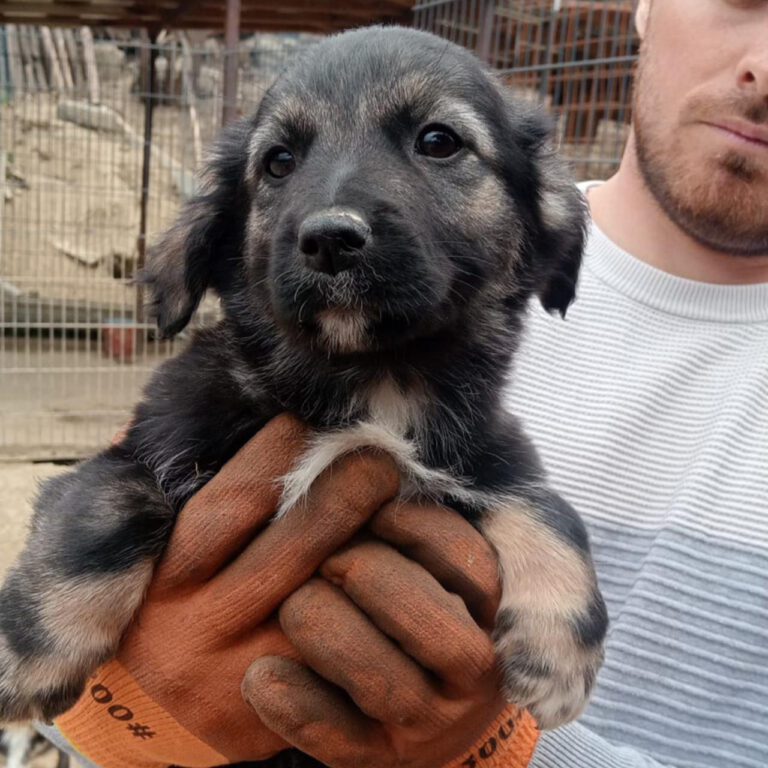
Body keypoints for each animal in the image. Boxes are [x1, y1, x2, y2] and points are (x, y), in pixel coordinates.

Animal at [0, 25, 607, 761]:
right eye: (279, 161)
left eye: (439, 141)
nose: (329, 239)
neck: (376, 382)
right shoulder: (145, 444)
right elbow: (105, 510)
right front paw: (31, 657)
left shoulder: (489, 448)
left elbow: (552, 510)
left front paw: (557, 661)